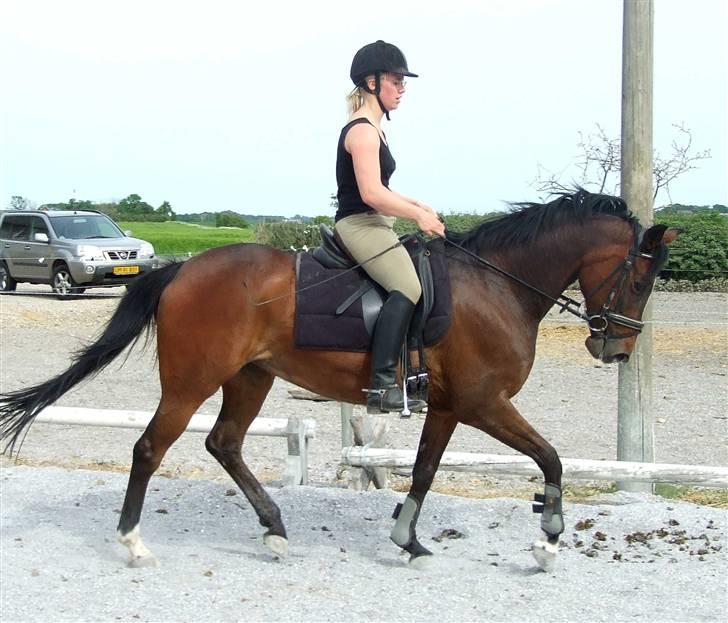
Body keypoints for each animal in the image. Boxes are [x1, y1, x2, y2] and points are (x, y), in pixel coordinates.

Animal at [2, 190, 680, 572]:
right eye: (639, 279)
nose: (615, 347)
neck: (498, 284)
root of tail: (180, 270)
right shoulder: (485, 402)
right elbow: (551, 458)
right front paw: (548, 541)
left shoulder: (449, 406)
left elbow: (425, 470)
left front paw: (408, 540)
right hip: (192, 382)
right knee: (149, 448)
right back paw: (134, 545)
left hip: (250, 379)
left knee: (223, 444)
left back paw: (275, 532)